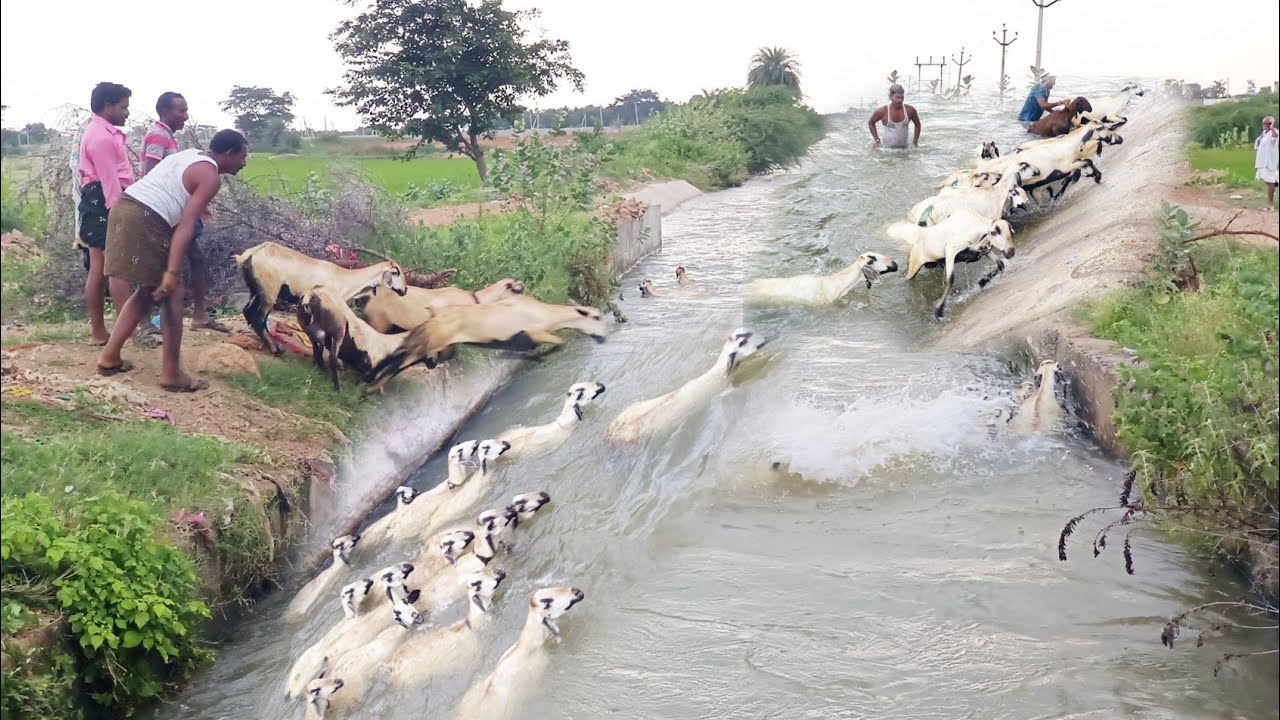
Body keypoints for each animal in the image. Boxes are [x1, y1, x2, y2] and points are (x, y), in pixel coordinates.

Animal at [234, 241, 408, 355]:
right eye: (397, 272)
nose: (404, 290)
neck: (344, 278)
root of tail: (250, 255)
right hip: (269, 291)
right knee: (259, 317)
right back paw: (276, 349)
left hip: (256, 290)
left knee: (248, 312)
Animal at [366, 297, 610, 391]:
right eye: (597, 317)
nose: (604, 337)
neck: (545, 313)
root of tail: (434, 314)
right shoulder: (535, 332)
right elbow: (560, 343)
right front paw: (533, 357)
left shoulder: (521, 340)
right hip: (431, 340)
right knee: (400, 360)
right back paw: (372, 385)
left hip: (437, 343)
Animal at [887, 207, 1015, 320]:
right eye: (995, 232)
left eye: (1009, 231)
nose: (1011, 252)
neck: (974, 226)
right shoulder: (951, 250)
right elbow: (950, 280)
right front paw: (938, 311)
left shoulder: (982, 250)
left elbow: (1000, 264)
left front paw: (982, 282)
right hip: (914, 266)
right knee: (905, 277)